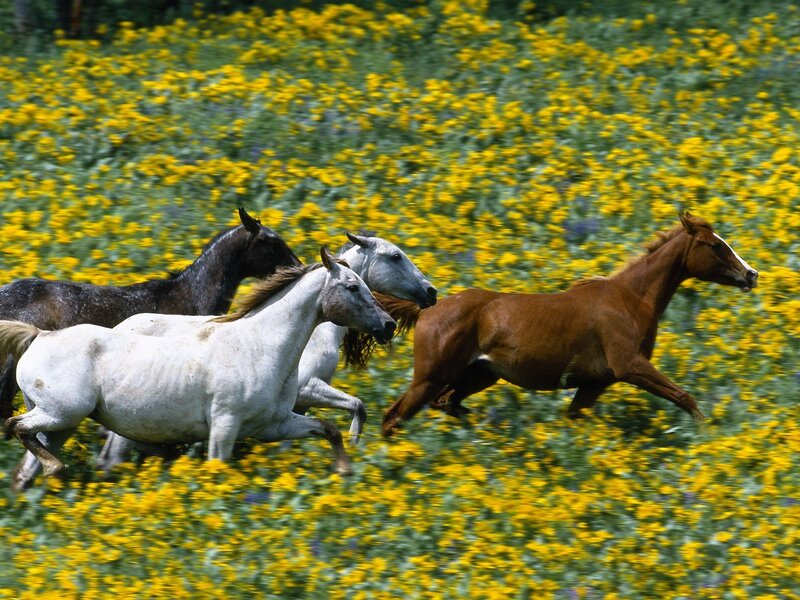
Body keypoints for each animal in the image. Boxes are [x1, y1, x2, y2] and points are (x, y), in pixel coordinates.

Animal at [0, 248, 396, 489]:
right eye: (352, 287)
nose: (389, 325)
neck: (260, 345)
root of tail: (39, 336)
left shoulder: (273, 424)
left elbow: (329, 429)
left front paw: (345, 469)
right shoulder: (224, 424)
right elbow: (218, 469)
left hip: (61, 424)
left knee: (25, 468)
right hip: (60, 414)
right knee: (15, 426)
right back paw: (55, 469)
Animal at [93, 233, 435, 473]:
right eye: (395, 256)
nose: (431, 292)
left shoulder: (290, 408)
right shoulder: (308, 387)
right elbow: (357, 405)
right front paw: (352, 444)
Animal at [380, 212, 759, 436]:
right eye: (715, 245)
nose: (751, 274)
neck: (630, 299)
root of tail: (428, 309)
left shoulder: (594, 383)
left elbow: (574, 418)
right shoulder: (630, 366)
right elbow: (685, 397)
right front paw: (706, 436)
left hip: (479, 374)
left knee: (447, 403)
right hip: (431, 376)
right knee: (394, 416)